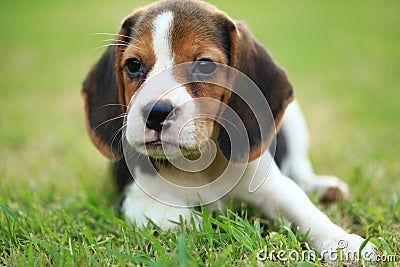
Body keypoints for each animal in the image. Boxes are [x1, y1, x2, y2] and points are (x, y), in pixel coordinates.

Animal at [82, 0, 378, 264]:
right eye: (133, 65)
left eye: (204, 65)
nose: (155, 113)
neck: (197, 160)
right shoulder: (135, 201)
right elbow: (176, 218)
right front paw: (205, 222)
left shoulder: (274, 187)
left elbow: (306, 211)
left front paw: (346, 243)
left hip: (295, 122)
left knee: (299, 170)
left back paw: (324, 188)